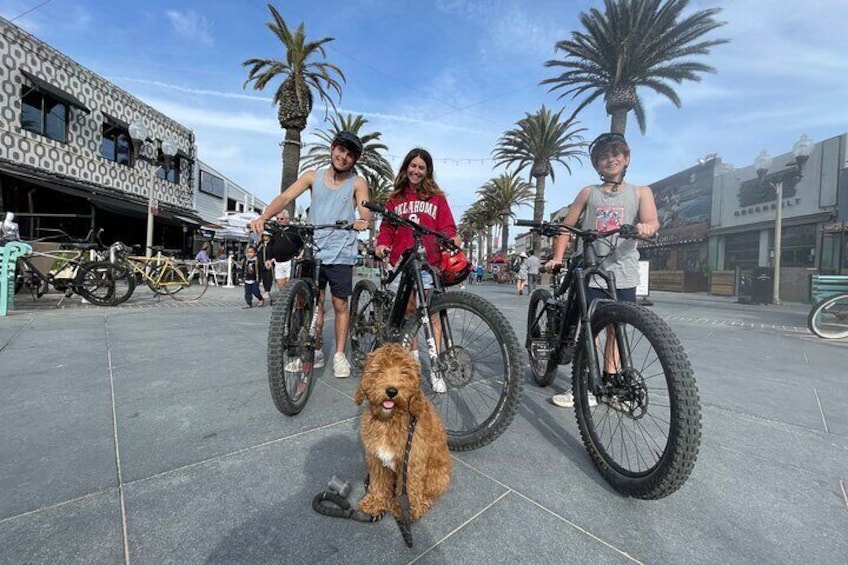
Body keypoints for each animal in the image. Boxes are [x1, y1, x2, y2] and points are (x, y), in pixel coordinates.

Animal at [354, 340, 454, 520]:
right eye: (379, 370)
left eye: (404, 372)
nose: (391, 391)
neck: (389, 420)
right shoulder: (376, 459)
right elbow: (378, 482)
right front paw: (375, 503)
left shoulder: (411, 463)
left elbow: (408, 488)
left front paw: (406, 509)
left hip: (438, 474)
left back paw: (423, 503)